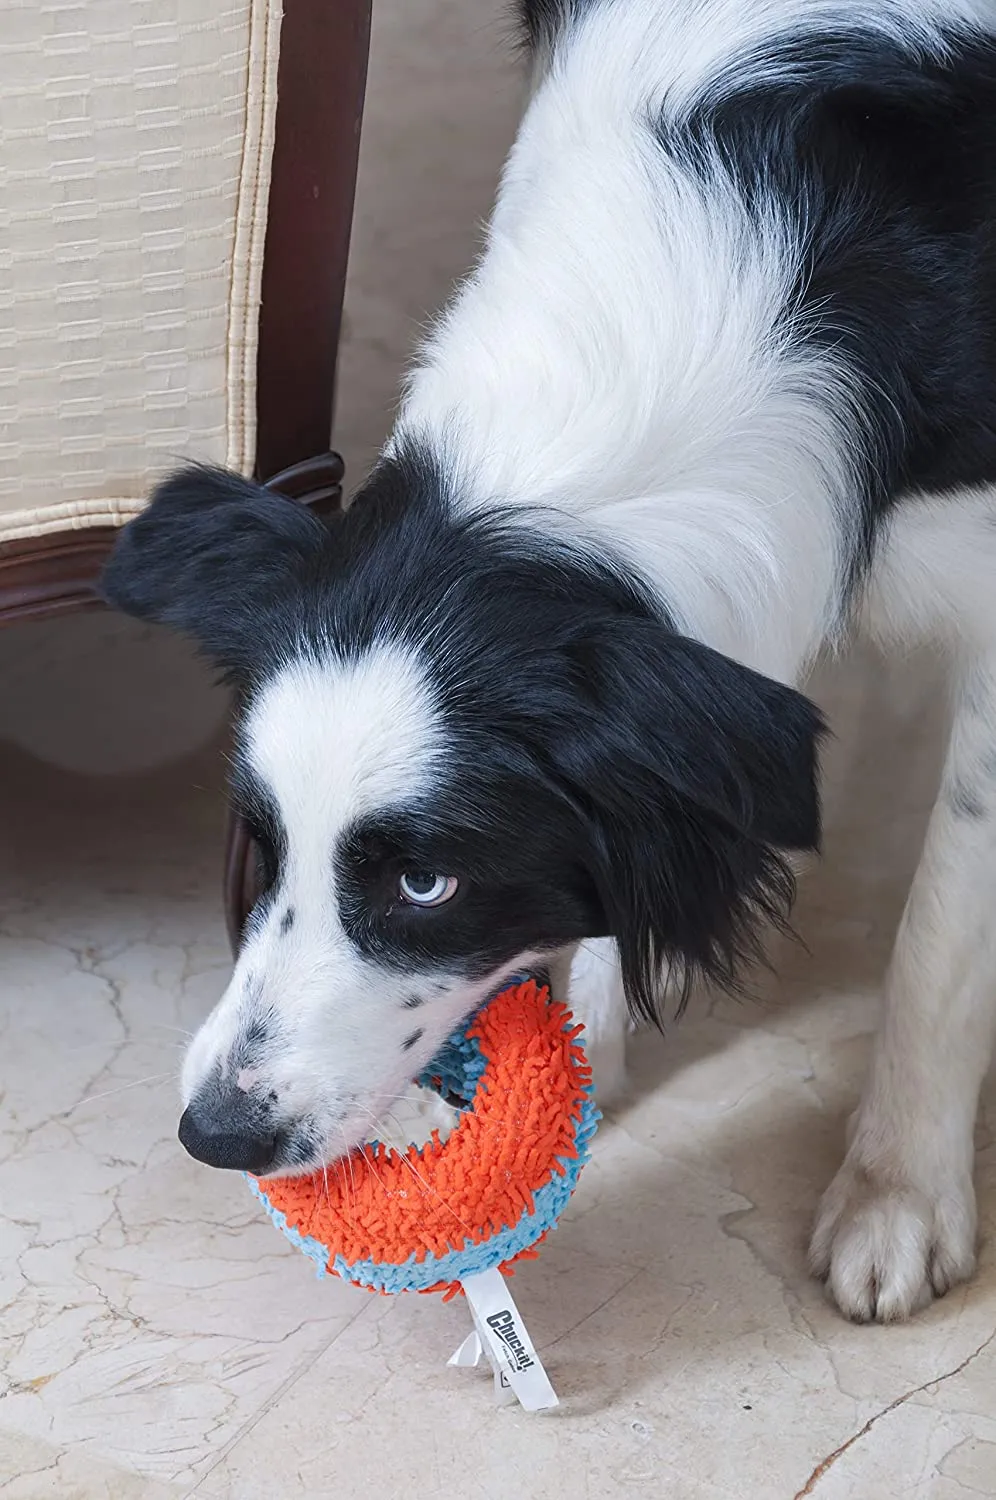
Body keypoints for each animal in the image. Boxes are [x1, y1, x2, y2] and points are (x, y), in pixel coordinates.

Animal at [102, 2, 996, 1326]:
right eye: (262, 841)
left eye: (427, 885)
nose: (217, 1134)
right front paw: (595, 1039)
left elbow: (941, 925)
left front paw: (896, 1196)